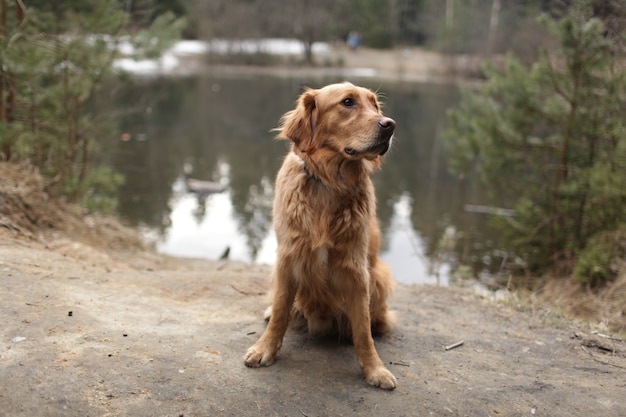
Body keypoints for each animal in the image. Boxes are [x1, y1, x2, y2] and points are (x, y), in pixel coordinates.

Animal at [244, 82, 394, 390]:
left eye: (375, 105)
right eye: (347, 102)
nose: (390, 125)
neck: (330, 183)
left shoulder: (355, 269)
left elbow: (363, 330)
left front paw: (375, 369)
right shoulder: (288, 257)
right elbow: (281, 311)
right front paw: (265, 349)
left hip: (379, 275)